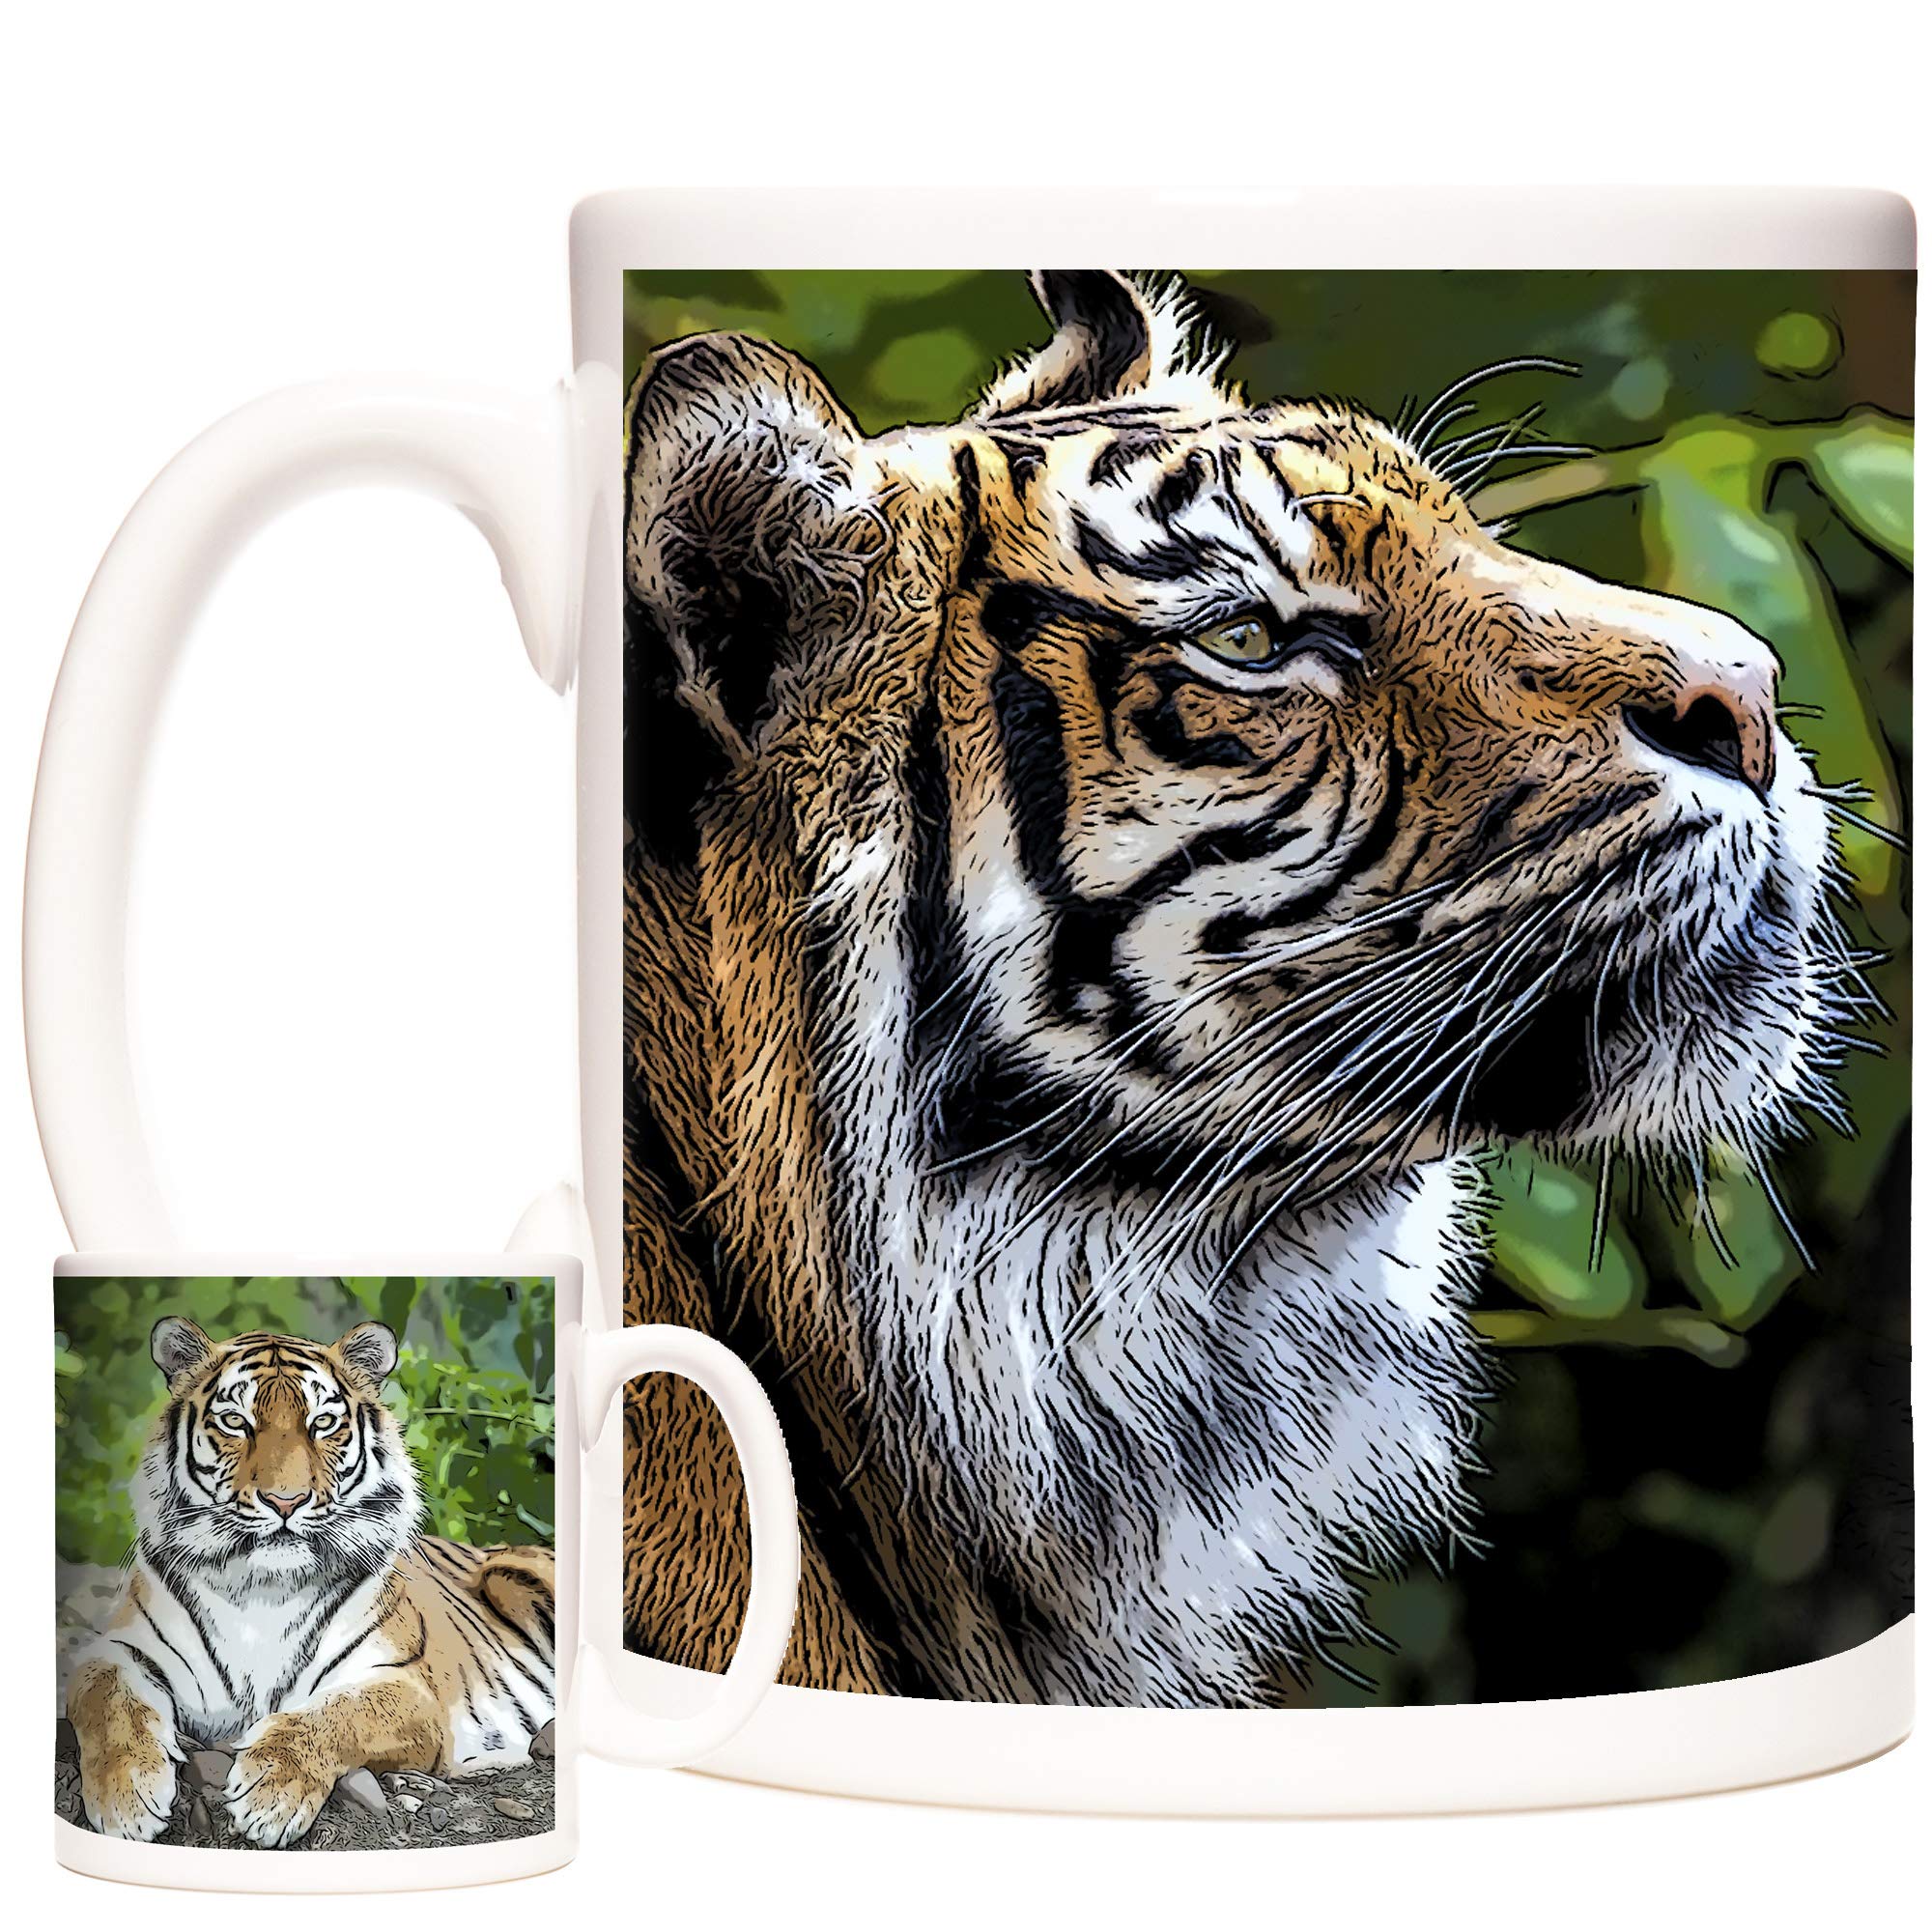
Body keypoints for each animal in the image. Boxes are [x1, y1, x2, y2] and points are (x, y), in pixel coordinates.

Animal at [66, 1318, 555, 1844]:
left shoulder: (405, 1687)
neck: (262, 1591)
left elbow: (335, 1715)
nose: (286, 1500)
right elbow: (103, 1693)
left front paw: (270, 1794)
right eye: (235, 1421)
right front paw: (126, 1797)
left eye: (322, 1423)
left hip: (511, 1573)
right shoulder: (125, 1648)